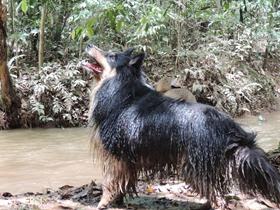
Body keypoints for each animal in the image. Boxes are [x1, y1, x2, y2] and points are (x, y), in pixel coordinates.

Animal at [82, 45, 280, 209]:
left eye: (111, 55)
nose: (89, 44)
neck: (120, 87)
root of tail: (229, 125)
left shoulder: (114, 155)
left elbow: (109, 183)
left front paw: (103, 203)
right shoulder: (126, 158)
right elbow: (124, 183)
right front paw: (118, 200)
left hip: (196, 166)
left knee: (218, 197)